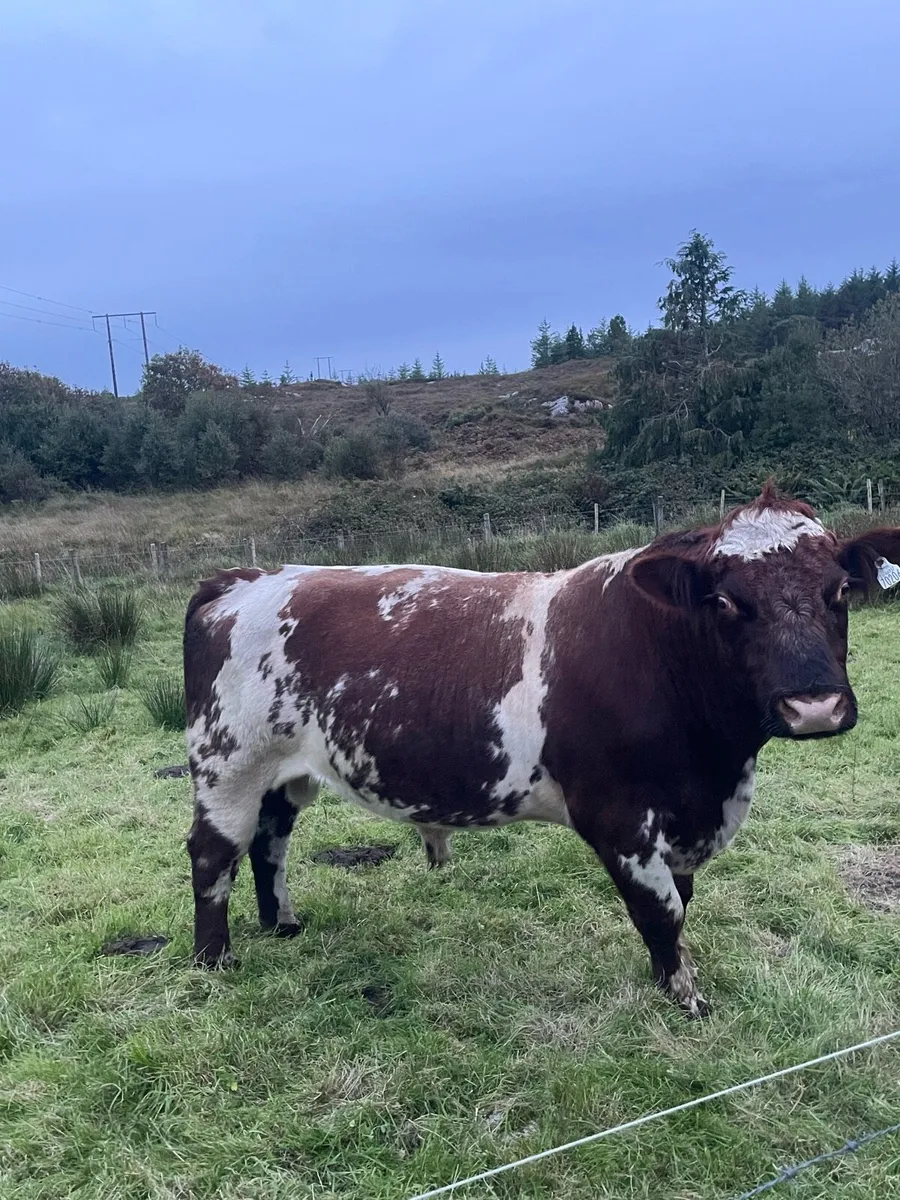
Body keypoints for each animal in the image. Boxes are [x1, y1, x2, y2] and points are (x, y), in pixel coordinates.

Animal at [183, 485, 900, 1016]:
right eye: (725, 601)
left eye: (841, 590)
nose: (813, 706)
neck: (716, 768)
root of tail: (244, 578)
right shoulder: (619, 817)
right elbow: (661, 910)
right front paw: (687, 999)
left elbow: (678, 902)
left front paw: (666, 982)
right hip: (228, 762)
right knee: (215, 852)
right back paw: (215, 960)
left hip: (284, 771)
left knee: (270, 841)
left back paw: (282, 923)